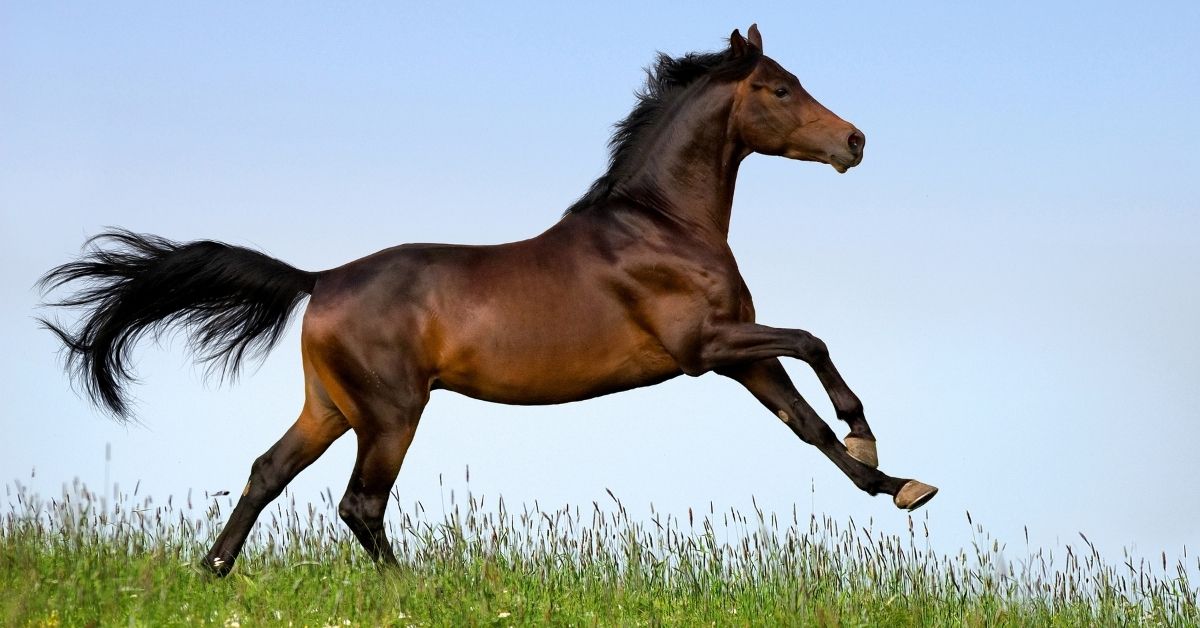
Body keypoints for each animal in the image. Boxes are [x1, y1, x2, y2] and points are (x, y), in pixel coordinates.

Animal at [39, 24, 936, 578]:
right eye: (780, 89)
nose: (855, 140)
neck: (662, 227)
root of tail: (319, 279)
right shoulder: (707, 348)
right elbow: (814, 343)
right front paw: (870, 439)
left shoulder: (737, 355)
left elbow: (806, 425)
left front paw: (895, 484)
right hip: (391, 413)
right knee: (359, 504)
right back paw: (407, 589)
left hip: (330, 406)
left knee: (267, 474)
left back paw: (213, 571)